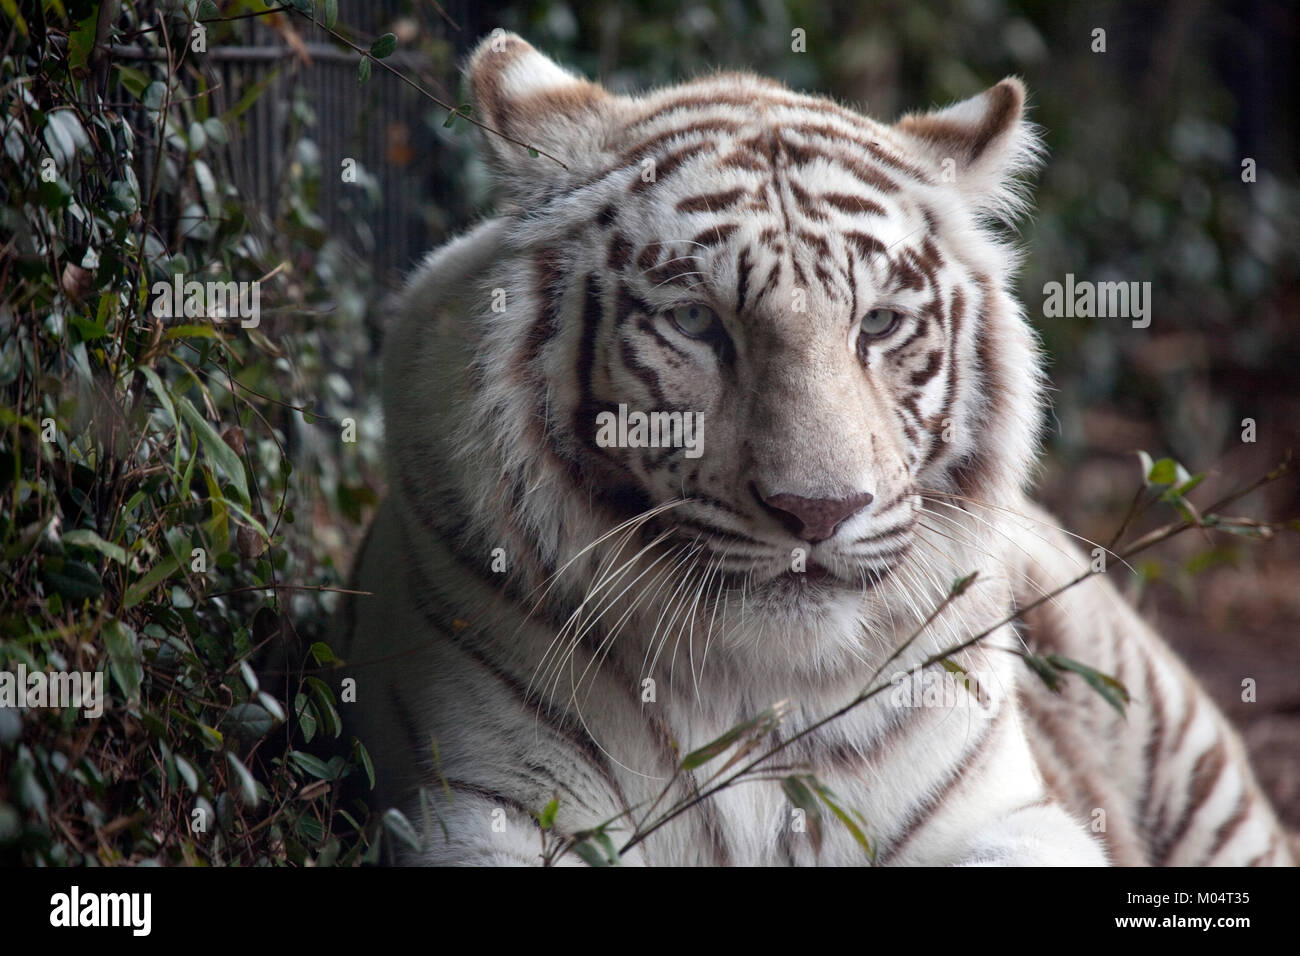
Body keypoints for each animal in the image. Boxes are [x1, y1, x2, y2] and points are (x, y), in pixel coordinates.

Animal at [336, 31, 1292, 866]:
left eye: (879, 324)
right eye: (696, 321)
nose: (819, 511)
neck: (755, 687)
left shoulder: (1004, 813)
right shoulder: (484, 807)